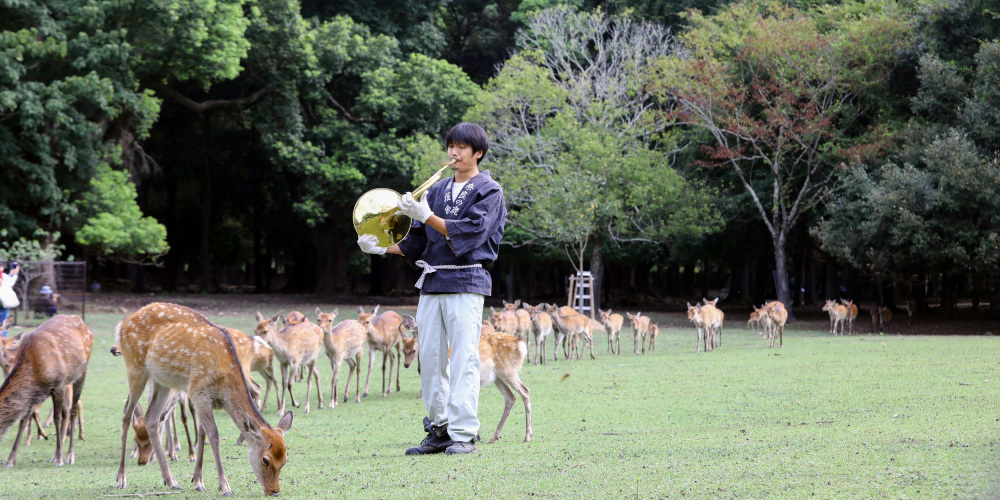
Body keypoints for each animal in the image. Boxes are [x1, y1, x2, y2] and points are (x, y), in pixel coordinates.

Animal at [0, 315, 92, 468]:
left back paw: (69, 455)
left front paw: (60, 459)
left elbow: (57, 418)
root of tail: (82, 321)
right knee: (68, 410)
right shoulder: (33, 394)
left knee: (72, 410)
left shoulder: (58, 384)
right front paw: (10, 460)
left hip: (81, 373)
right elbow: (23, 420)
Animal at [116, 303, 294, 496]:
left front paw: (198, 482)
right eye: (265, 459)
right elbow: (213, 434)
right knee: (126, 413)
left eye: (285, 460)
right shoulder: (199, 391)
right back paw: (121, 479)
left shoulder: (204, 399)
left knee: (151, 419)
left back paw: (171, 481)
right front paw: (224, 486)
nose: (274, 491)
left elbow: (202, 434)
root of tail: (123, 324)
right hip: (135, 367)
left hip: (162, 382)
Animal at [397, 314, 532, 443]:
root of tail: (520, 343)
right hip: (497, 377)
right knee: (510, 397)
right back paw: (494, 437)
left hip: (508, 370)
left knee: (525, 391)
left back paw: (527, 436)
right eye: (416, 331)